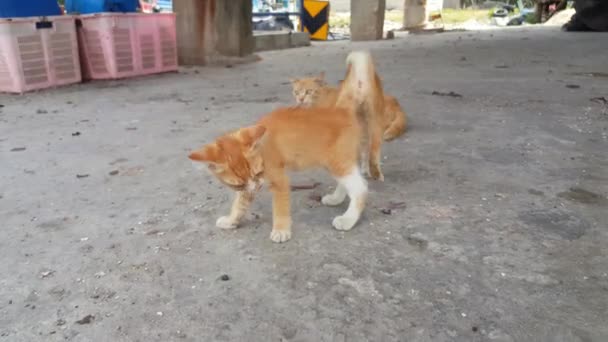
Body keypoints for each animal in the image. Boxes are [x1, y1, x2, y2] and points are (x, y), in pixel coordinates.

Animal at [188, 50, 378, 243]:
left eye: (258, 173)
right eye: (238, 184)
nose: (256, 188)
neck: (262, 147)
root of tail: (339, 110)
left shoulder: (279, 179)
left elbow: (280, 207)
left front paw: (281, 230)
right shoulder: (247, 187)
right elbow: (239, 203)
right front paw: (231, 220)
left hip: (337, 160)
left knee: (360, 188)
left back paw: (348, 219)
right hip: (335, 160)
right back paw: (336, 198)